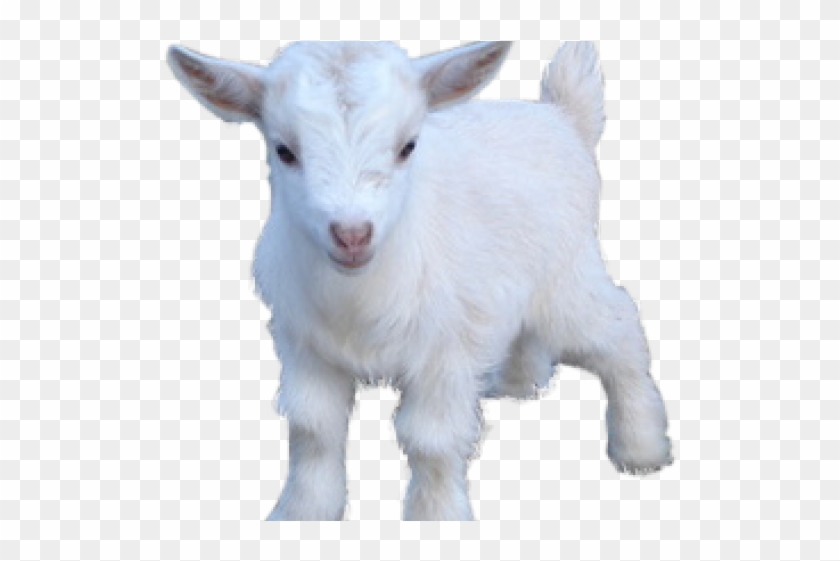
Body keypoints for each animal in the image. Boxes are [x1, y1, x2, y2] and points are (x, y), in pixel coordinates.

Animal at [167, 40, 673, 521]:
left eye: (408, 146)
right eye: (284, 150)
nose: (352, 235)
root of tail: (563, 116)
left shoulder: (445, 349)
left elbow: (431, 440)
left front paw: (436, 520)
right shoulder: (305, 345)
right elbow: (313, 427)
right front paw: (302, 513)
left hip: (567, 275)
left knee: (618, 328)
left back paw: (640, 447)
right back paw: (517, 383)